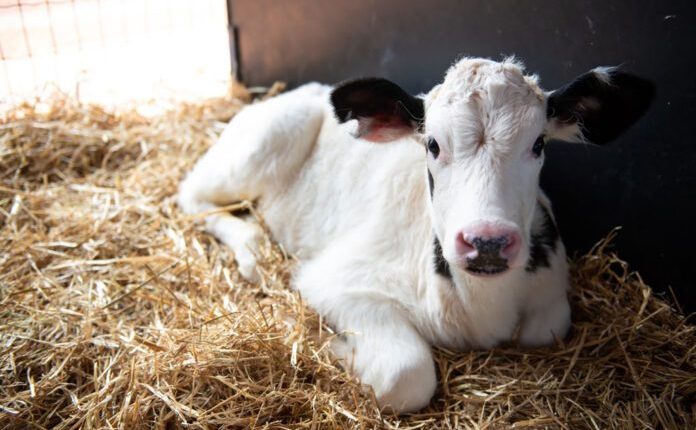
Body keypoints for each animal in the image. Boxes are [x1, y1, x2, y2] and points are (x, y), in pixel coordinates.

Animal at [178, 57, 652, 414]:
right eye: (433, 145)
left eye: (538, 144)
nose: (487, 241)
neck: (481, 308)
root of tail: (301, 90)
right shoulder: (335, 281)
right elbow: (406, 375)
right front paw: (328, 342)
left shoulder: (550, 289)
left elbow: (546, 327)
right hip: (265, 142)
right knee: (191, 195)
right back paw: (252, 249)